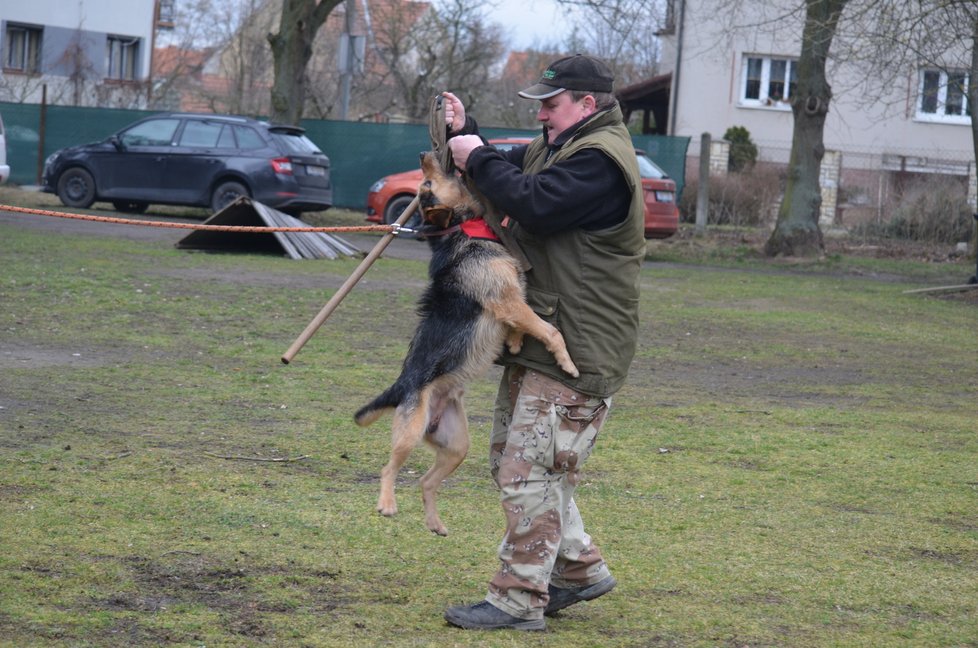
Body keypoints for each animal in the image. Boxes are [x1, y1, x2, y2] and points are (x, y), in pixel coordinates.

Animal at [352, 152, 576, 536]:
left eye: (425, 184)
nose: (424, 155)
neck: (462, 231)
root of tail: (402, 387)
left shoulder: (512, 303)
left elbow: (523, 326)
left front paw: (514, 344)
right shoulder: (508, 301)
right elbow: (549, 331)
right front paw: (566, 362)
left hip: (457, 445)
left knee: (426, 482)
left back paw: (435, 523)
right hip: (410, 433)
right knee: (389, 468)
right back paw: (387, 504)